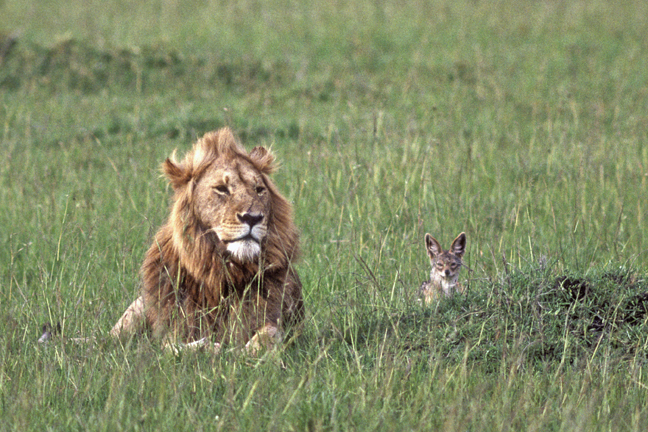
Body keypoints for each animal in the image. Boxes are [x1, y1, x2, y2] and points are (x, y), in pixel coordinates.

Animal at [109, 126, 304, 352]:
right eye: (222, 189)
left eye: (259, 190)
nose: (253, 217)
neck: (222, 273)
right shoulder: (173, 328)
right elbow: (173, 346)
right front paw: (211, 347)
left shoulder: (284, 323)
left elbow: (269, 334)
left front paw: (249, 350)